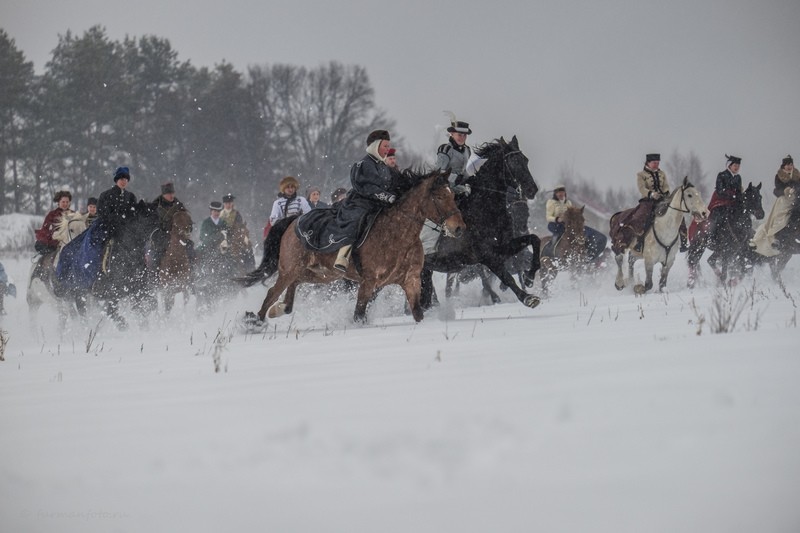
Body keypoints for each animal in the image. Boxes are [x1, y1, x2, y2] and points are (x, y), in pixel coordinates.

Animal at [241, 170, 466, 324]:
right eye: (439, 197)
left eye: (452, 195)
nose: (458, 228)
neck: (399, 235)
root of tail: (294, 220)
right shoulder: (368, 282)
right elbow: (359, 314)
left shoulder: (411, 280)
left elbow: (418, 313)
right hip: (290, 268)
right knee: (272, 292)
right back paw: (254, 321)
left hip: (320, 274)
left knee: (293, 286)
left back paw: (280, 309)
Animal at [422, 135, 540, 310]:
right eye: (512, 162)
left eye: (526, 160)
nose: (532, 190)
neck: (485, 209)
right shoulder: (486, 255)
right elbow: (505, 277)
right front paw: (527, 298)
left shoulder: (502, 247)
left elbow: (534, 239)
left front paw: (529, 277)